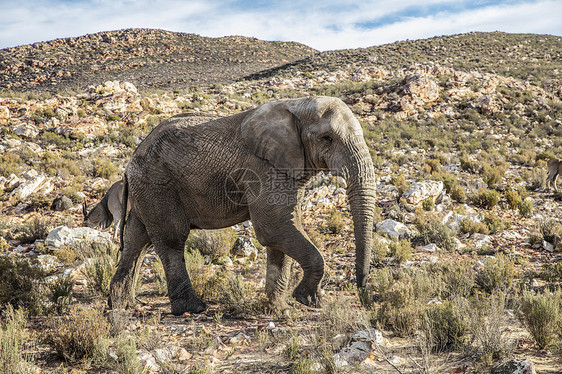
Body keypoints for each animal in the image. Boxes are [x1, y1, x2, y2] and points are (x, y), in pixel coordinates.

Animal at [109, 96, 374, 316]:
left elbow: (285, 231)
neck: (297, 105)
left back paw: (122, 305)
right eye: (327, 139)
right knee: (171, 238)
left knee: (137, 240)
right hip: (157, 185)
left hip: (147, 190)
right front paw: (308, 299)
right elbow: (274, 228)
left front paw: (279, 309)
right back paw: (192, 308)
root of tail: (129, 163)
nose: (363, 296)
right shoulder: (263, 168)